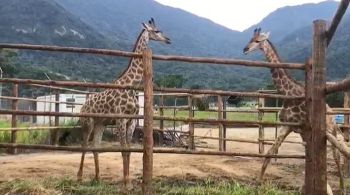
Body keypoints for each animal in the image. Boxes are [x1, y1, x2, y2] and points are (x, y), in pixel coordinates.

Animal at [77, 18, 171, 186]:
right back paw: (80, 177)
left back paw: (97, 177)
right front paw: (125, 182)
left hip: (100, 124)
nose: (168, 39)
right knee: (84, 146)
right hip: (88, 123)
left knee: (95, 146)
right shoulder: (121, 119)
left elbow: (129, 149)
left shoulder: (131, 121)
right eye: (156, 31)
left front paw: (128, 180)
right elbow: (123, 149)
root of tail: (82, 107)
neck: (131, 85)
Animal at [243, 28, 342, 194]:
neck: (288, 94)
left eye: (258, 40)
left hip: (330, 130)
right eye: (250, 38)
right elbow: (270, 153)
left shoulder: (302, 128)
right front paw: (258, 183)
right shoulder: (287, 126)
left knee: (336, 155)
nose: (245, 49)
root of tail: (333, 114)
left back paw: (340, 186)